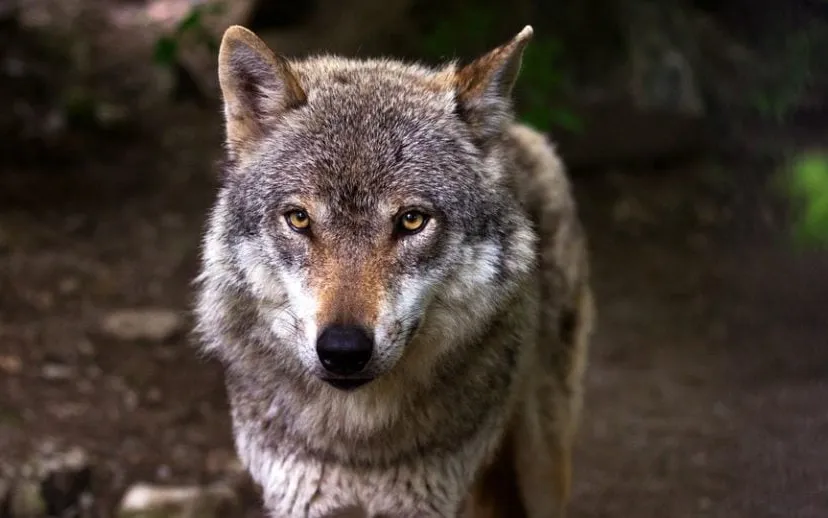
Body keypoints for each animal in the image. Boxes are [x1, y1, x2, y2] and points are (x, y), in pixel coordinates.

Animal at [194, 23, 595, 518]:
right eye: (299, 219)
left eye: (412, 220)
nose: (343, 349)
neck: (360, 443)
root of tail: (518, 133)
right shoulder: (300, 499)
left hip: (542, 467)